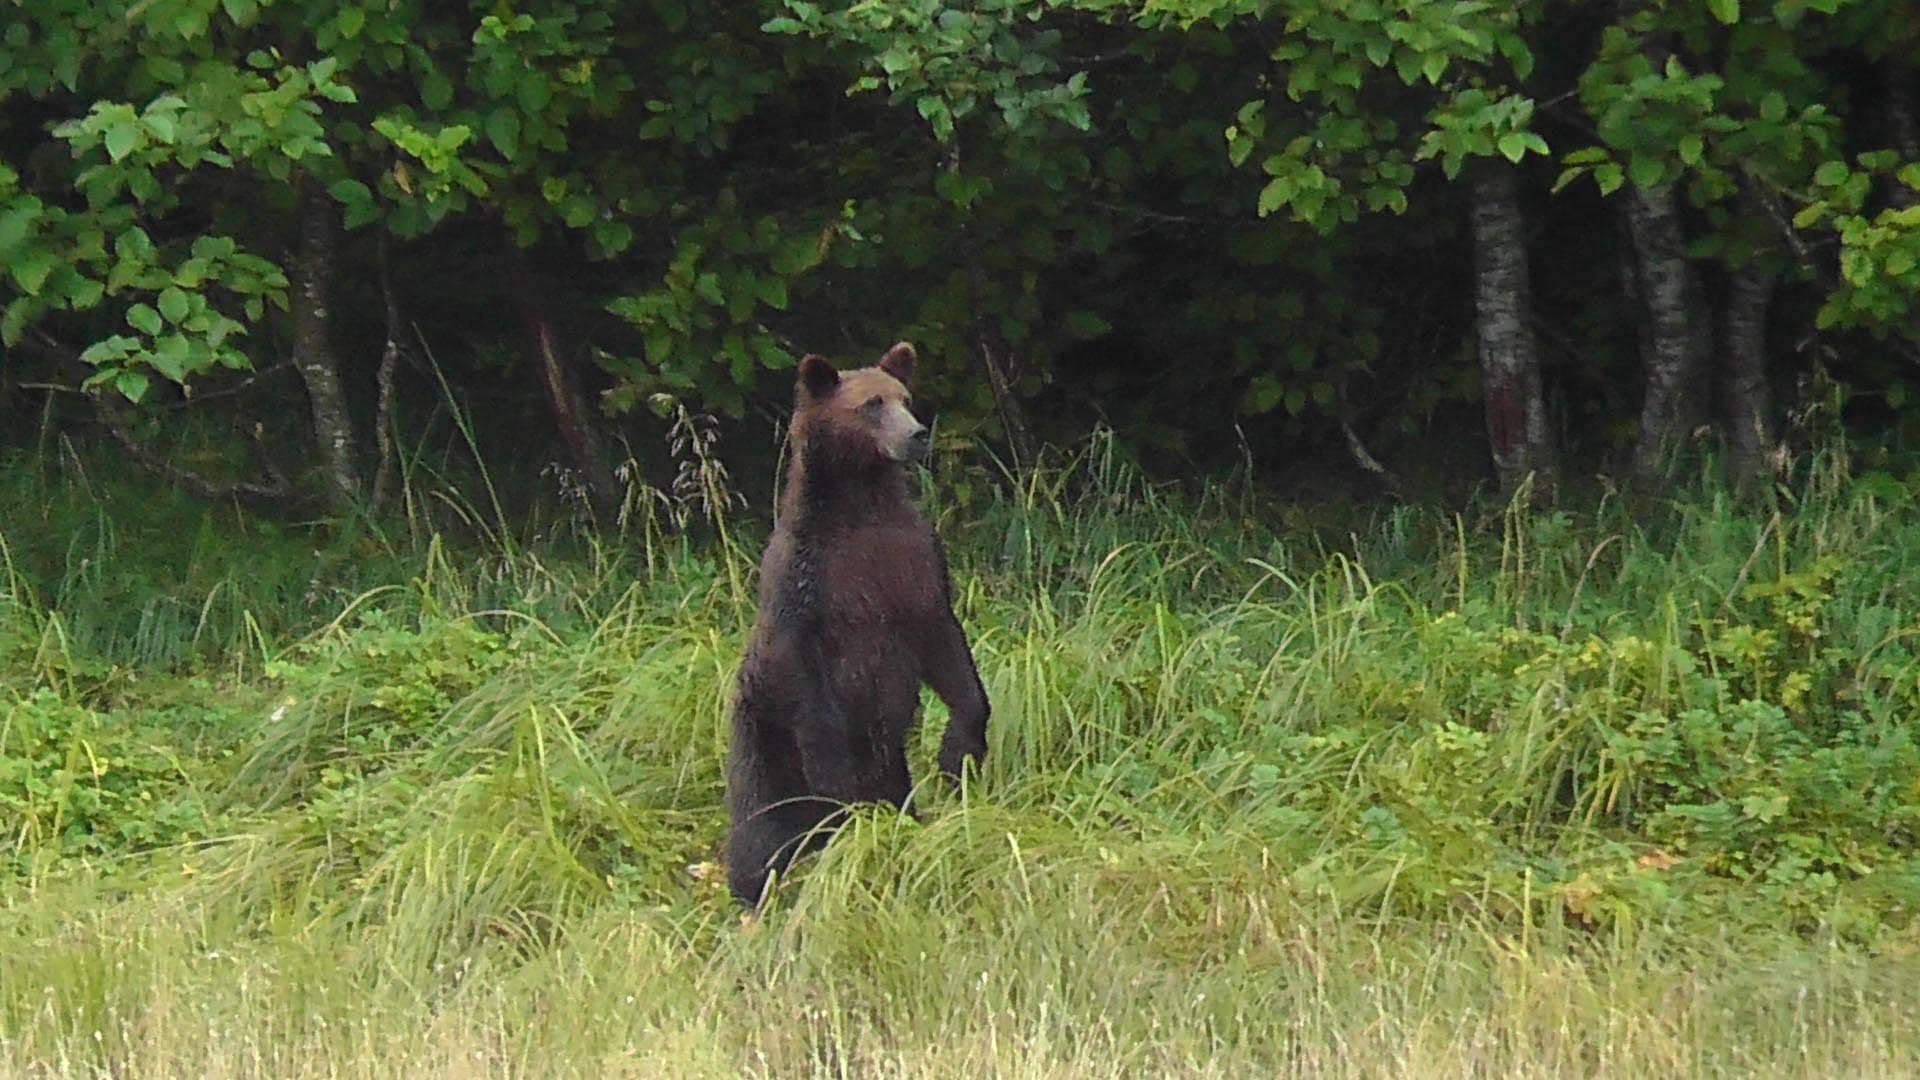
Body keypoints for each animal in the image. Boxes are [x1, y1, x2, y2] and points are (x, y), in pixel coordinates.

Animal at [725, 342, 990, 907]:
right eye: (871, 404)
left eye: (905, 397)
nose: (917, 433)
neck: (862, 504)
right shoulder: (805, 584)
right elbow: (807, 681)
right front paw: (835, 774)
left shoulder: (916, 566)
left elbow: (949, 652)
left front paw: (958, 749)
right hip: (762, 742)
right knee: (759, 829)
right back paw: (756, 889)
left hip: (890, 762)